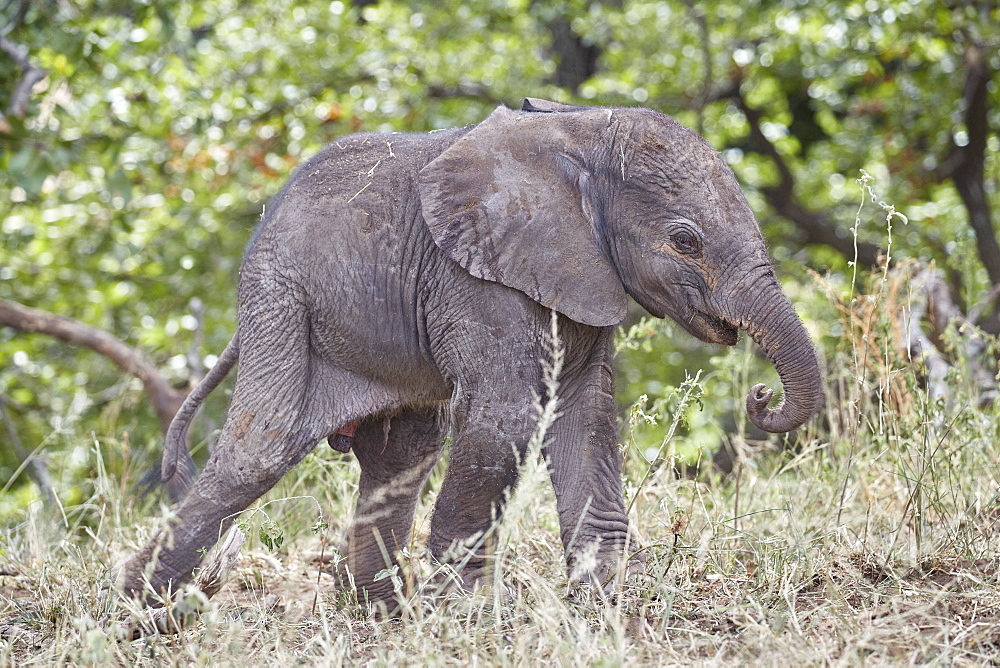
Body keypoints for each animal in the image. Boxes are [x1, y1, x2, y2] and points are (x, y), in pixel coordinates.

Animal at [115, 96, 820, 612]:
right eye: (686, 241)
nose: (762, 397)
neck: (579, 131)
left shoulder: (581, 278)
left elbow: (586, 418)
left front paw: (608, 603)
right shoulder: (480, 280)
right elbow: (507, 418)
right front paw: (466, 615)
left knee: (399, 458)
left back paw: (380, 613)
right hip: (279, 301)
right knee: (258, 453)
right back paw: (134, 611)